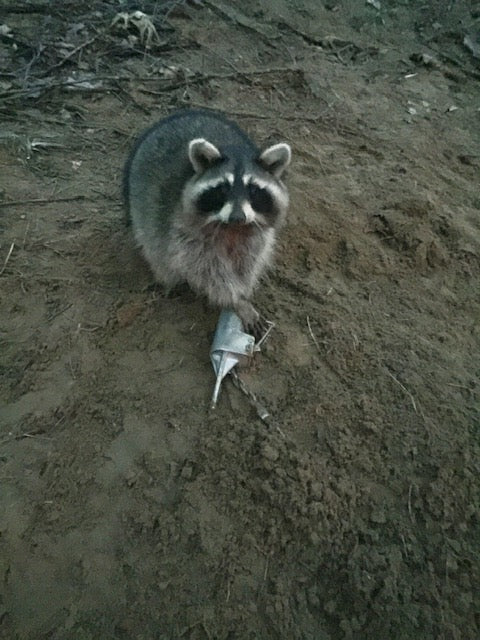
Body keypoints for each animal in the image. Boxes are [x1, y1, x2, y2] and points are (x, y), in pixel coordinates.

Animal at [124, 108, 291, 333]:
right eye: (223, 189)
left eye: (253, 190)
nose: (237, 217)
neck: (233, 229)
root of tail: (186, 113)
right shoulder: (185, 231)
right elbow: (206, 269)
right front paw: (235, 299)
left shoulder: (255, 233)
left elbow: (248, 261)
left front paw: (243, 290)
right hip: (141, 204)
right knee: (154, 244)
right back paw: (167, 278)